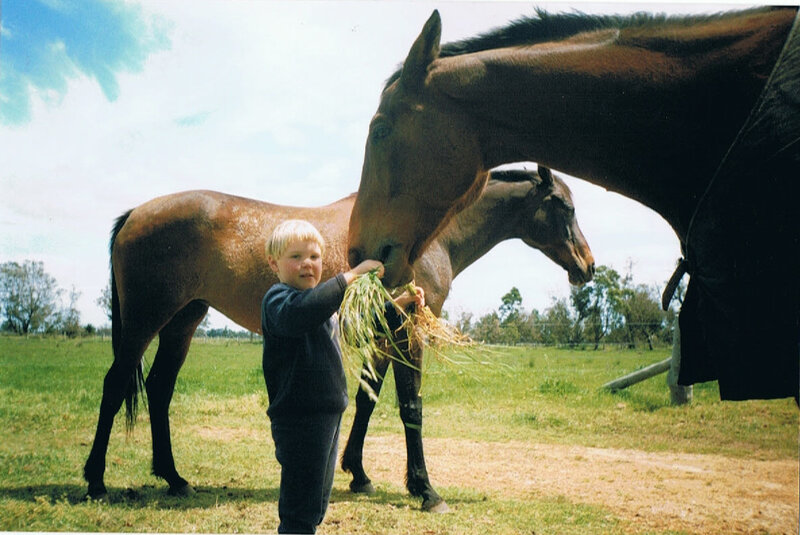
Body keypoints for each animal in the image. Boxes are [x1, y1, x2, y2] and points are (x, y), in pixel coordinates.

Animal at [83, 168, 595, 503]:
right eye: (566, 206)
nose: (588, 267)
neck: (424, 237)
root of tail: (136, 213)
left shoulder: (384, 335)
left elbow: (368, 398)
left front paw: (359, 473)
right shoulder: (407, 331)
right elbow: (411, 406)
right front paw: (424, 488)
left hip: (184, 321)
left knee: (160, 389)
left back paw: (174, 478)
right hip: (146, 321)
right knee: (115, 385)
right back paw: (96, 480)